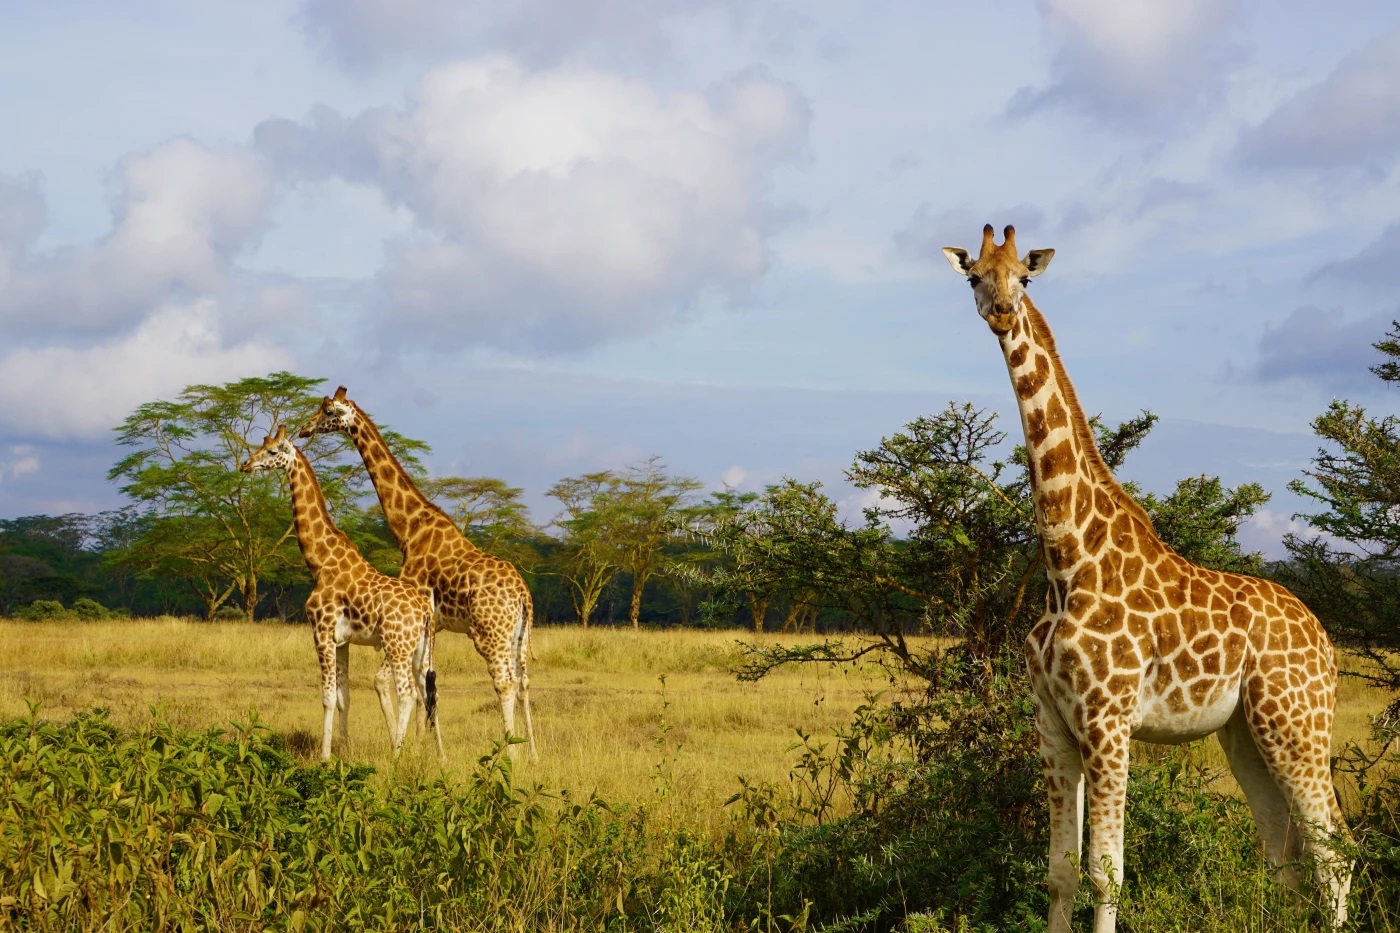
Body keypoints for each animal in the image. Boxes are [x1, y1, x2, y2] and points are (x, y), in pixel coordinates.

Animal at [238, 425, 439, 762]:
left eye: (273, 451)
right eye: (260, 447)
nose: (245, 465)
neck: (320, 562)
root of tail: (424, 610)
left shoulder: (321, 631)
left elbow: (328, 697)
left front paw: (325, 757)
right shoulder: (342, 640)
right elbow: (345, 697)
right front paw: (344, 750)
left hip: (397, 644)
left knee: (408, 693)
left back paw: (396, 757)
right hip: (420, 648)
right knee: (428, 691)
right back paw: (440, 756)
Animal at [298, 383, 537, 756]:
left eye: (328, 411)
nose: (304, 429)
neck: (409, 529)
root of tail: (523, 594)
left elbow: (391, 683)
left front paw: (406, 747)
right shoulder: (431, 626)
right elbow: (426, 686)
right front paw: (424, 747)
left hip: (489, 633)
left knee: (505, 682)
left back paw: (511, 753)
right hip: (518, 635)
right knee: (524, 681)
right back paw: (533, 754)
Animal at [935, 226, 1349, 930]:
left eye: (1025, 276)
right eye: (974, 276)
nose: (1002, 313)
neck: (1067, 561)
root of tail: (1323, 640)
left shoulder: (1109, 720)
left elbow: (1107, 874)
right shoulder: (1052, 725)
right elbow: (1060, 874)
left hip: (1297, 720)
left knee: (1333, 852)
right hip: (1246, 732)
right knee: (1284, 851)